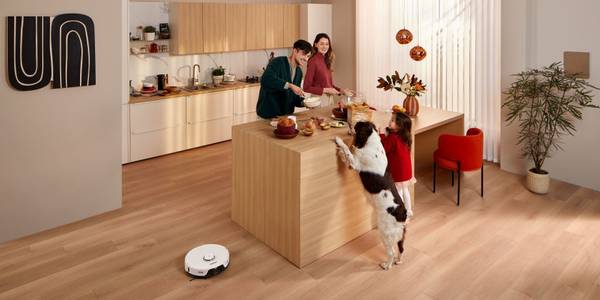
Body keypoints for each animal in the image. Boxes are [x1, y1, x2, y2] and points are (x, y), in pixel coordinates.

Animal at [332, 120, 408, 270]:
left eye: (358, 125)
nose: (350, 122)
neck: (372, 142)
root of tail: (402, 212)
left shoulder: (355, 163)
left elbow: (347, 150)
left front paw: (338, 141)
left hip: (384, 232)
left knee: (391, 251)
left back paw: (386, 265)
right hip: (400, 233)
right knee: (401, 248)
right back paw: (398, 261)